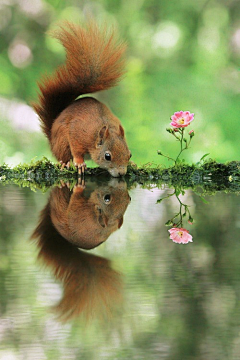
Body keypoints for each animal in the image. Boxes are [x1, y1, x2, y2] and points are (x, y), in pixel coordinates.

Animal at [32, 21, 131, 177]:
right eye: (107, 156)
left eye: (129, 154)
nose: (122, 173)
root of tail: (51, 139)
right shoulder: (78, 133)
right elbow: (76, 150)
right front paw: (79, 163)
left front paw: (133, 164)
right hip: (61, 142)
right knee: (63, 155)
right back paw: (66, 163)